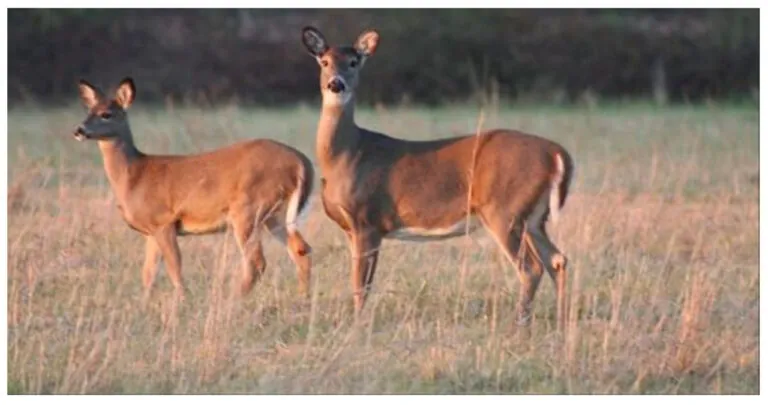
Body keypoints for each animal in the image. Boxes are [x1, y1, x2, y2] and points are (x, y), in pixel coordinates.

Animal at [72, 78, 312, 300]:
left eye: (106, 114)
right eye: (88, 111)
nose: (79, 130)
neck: (133, 175)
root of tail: (301, 162)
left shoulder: (164, 221)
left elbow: (174, 268)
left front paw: (181, 302)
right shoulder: (150, 231)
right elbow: (148, 274)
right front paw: (144, 304)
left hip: (248, 209)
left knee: (257, 261)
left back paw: (234, 299)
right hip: (275, 215)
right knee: (300, 249)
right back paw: (302, 298)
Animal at [304, 27, 572, 326]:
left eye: (353, 62)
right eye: (324, 62)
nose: (336, 84)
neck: (347, 155)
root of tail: (556, 152)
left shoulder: (367, 220)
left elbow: (361, 284)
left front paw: (358, 324)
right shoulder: (353, 228)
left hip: (505, 210)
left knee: (531, 267)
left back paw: (520, 323)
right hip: (534, 218)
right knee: (557, 260)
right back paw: (561, 320)